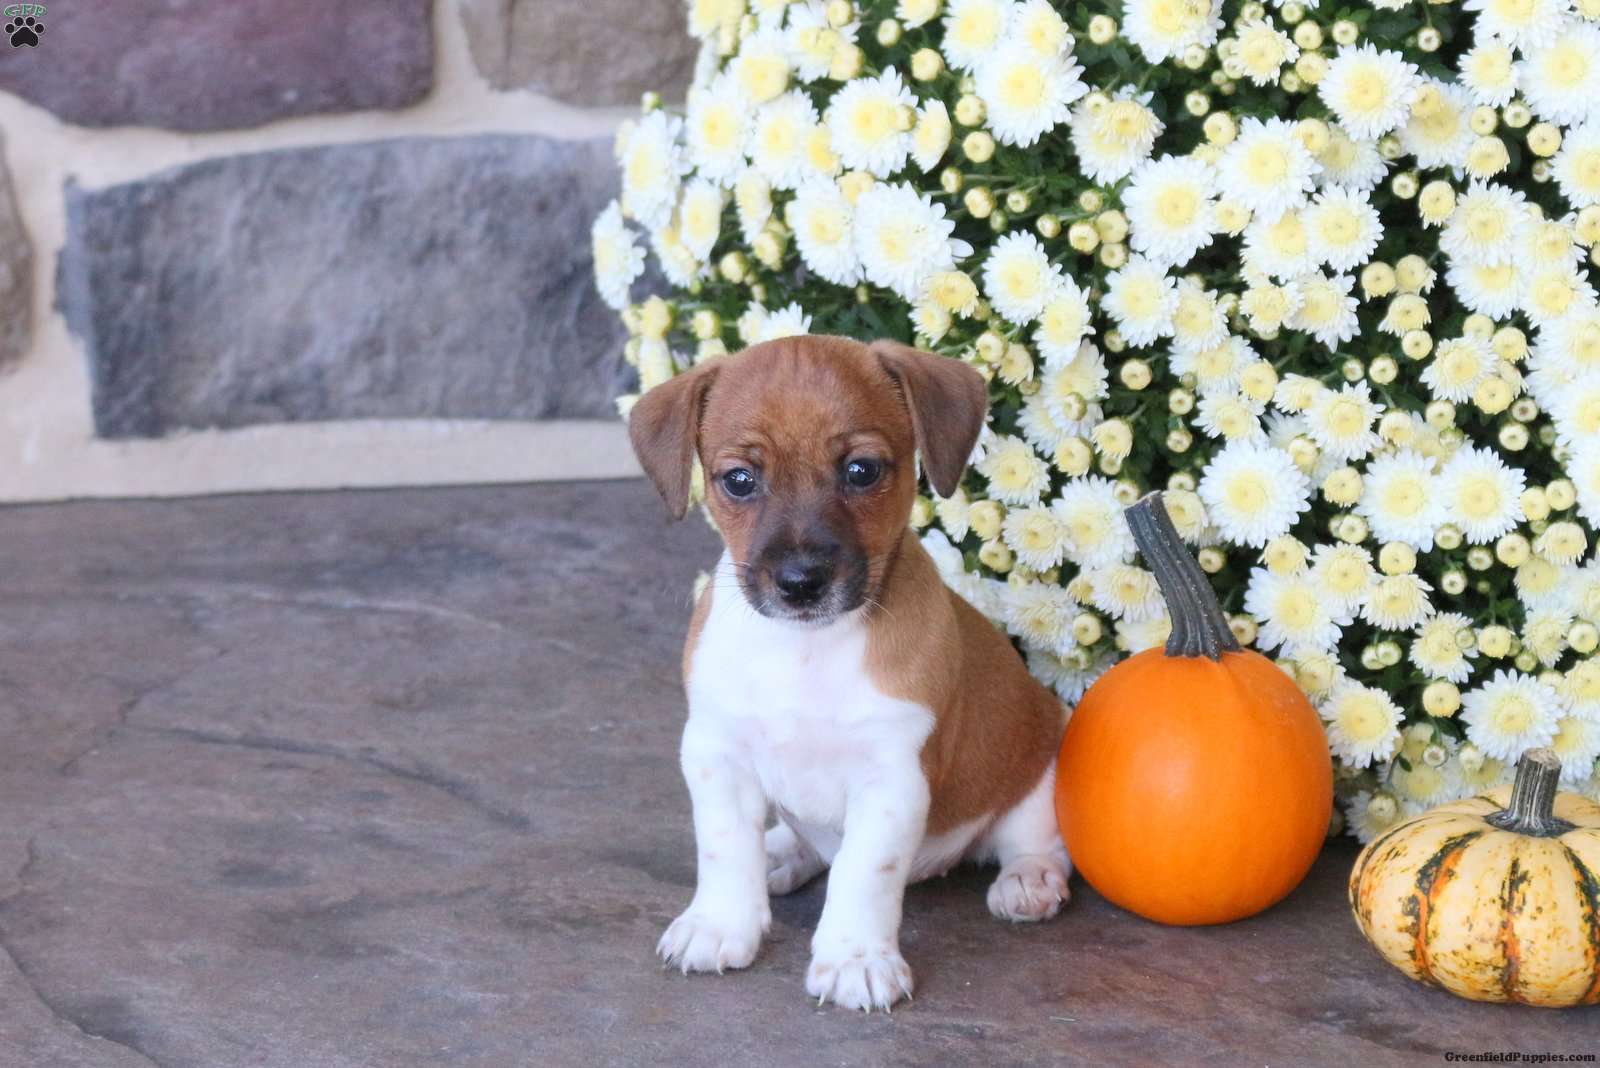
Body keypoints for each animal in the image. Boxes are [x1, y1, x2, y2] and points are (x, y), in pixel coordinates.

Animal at [628, 334, 1072, 1012]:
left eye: (861, 471)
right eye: (739, 481)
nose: (800, 582)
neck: (808, 648)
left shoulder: (892, 779)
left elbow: (863, 872)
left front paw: (854, 959)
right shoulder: (716, 753)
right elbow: (724, 847)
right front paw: (719, 924)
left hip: (1043, 766)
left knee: (1034, 841)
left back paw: (1030, 880)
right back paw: (781, 852)